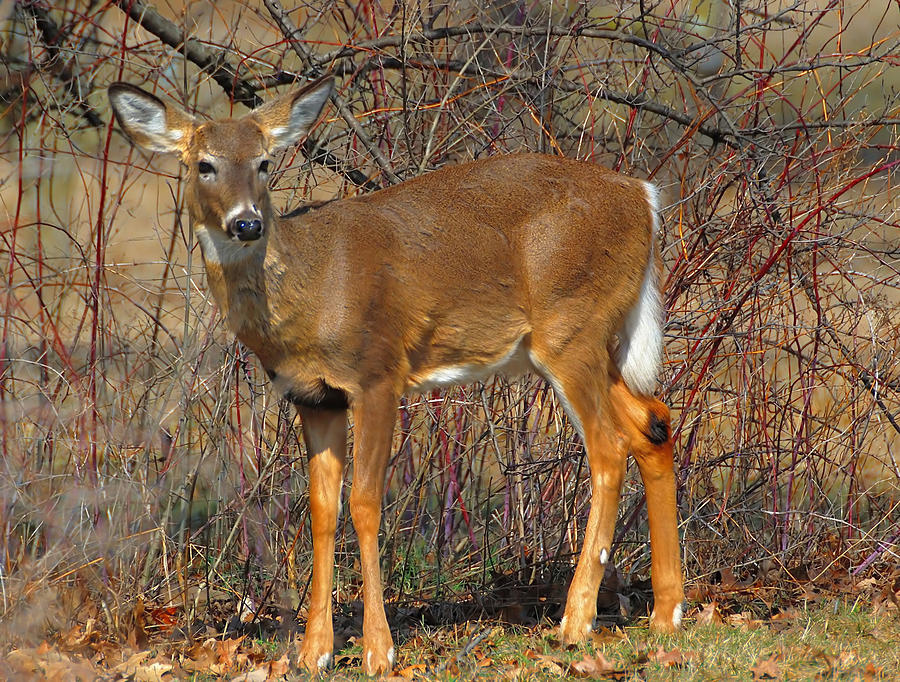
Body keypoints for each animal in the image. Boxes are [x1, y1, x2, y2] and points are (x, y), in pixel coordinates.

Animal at [110, 75, 688, 676]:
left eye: (265, 162)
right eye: (205, 164)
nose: (247, 222)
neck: (310, 293)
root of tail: (645, 198)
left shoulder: (376, 374)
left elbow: (365, 502)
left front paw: (377, 650)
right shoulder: (313, 398)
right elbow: (322, 509)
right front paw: (314, 651)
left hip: (571, 329)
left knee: (608, 447)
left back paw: (576, 621)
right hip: (582, 344)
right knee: (653, 421)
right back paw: (667, 613)